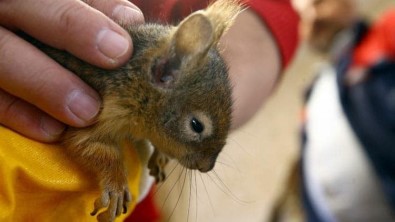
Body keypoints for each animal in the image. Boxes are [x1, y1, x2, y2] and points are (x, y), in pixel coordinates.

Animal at [24, 0, 243, 221]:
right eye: (196, 125)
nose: (207, 167)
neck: (135, 83)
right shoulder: (102, 112)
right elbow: (89, 146)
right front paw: (117, 187)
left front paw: (160, 156)